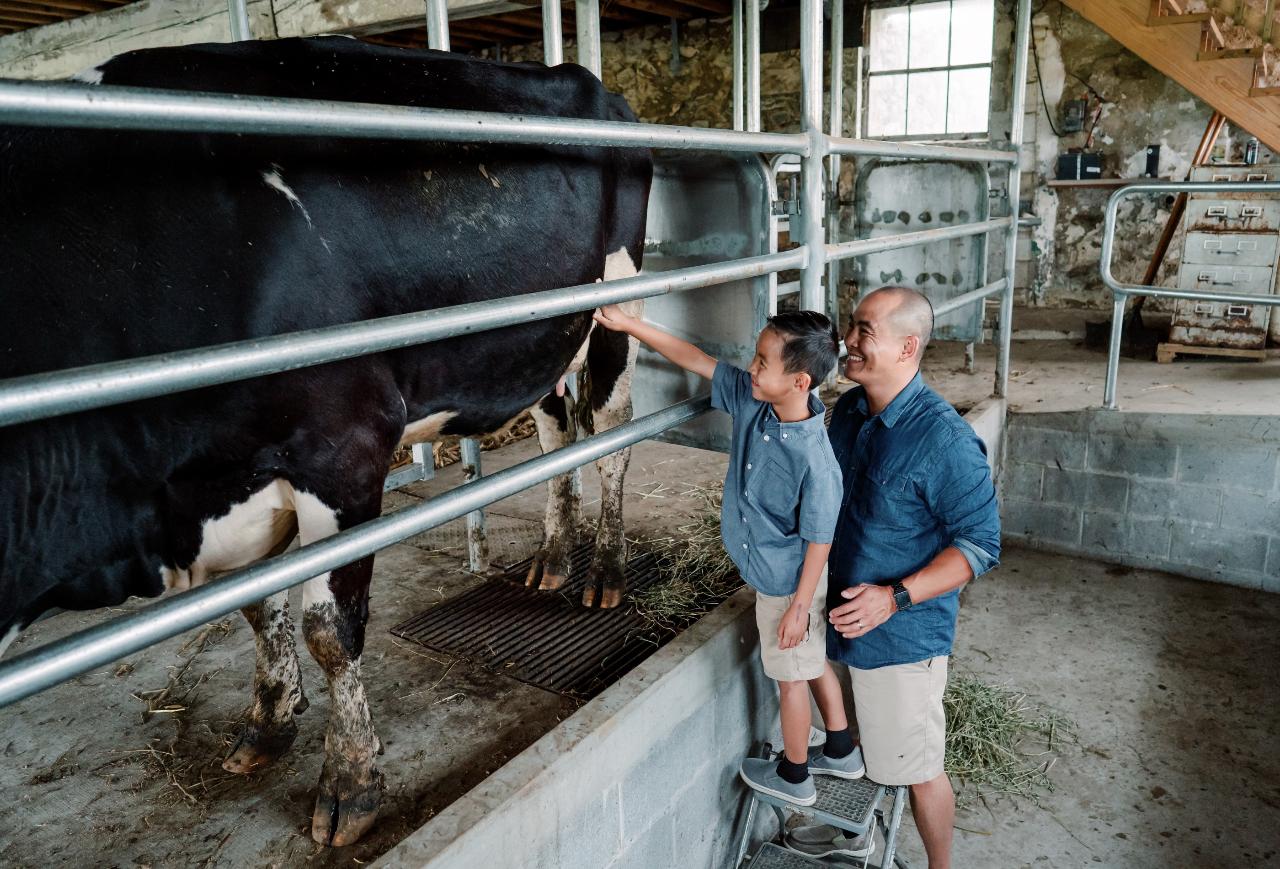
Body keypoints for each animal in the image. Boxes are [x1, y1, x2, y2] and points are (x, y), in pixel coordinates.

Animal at [0, 37, 655, 844]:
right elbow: (257, 606)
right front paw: (271, 718)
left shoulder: (345, 449)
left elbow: (329, 628)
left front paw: (351, 781)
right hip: (542, 338)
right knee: (557, 432)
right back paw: (556, 559)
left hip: (616, 310)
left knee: (613, 441)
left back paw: (605, 572)